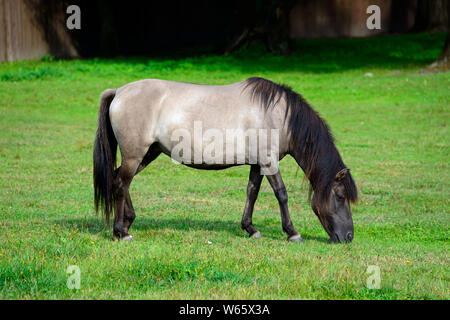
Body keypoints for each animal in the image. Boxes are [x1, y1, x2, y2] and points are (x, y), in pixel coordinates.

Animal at [92, 77, 358, 242]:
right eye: (340, 196)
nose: (348, 237)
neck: (278, 115)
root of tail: (119, 92)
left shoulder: (257, 164)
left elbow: (252, 192)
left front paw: (250, 229)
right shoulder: (269, 161)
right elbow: (281, 194)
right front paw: (292, 232)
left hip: (147, 153)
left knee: (118, 180)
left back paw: (127, 223)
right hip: (135, 155)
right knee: (120, 184)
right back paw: (121, 232)